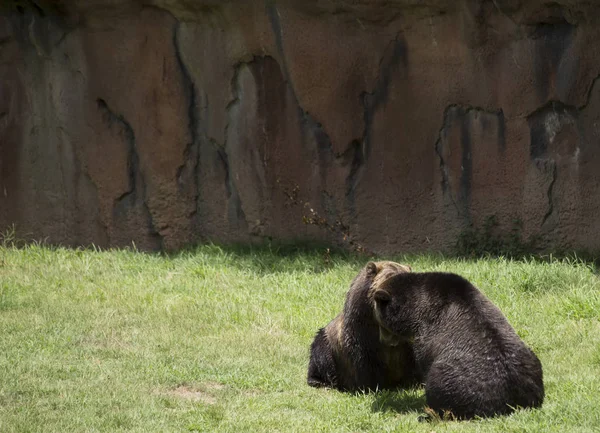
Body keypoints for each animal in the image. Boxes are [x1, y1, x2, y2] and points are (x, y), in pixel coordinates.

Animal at [308, 260, 420, 392]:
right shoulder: (363, 325)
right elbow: (365, 357)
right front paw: (372, 385)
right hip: (328, 344)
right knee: (321, 357)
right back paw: (319, 381)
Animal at [370, 272, 544, 416]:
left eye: (379, 322)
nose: (383, 340)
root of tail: (514, 400)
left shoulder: (428, 333)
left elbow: (425, 360)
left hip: (456, 381)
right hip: (530, 363)